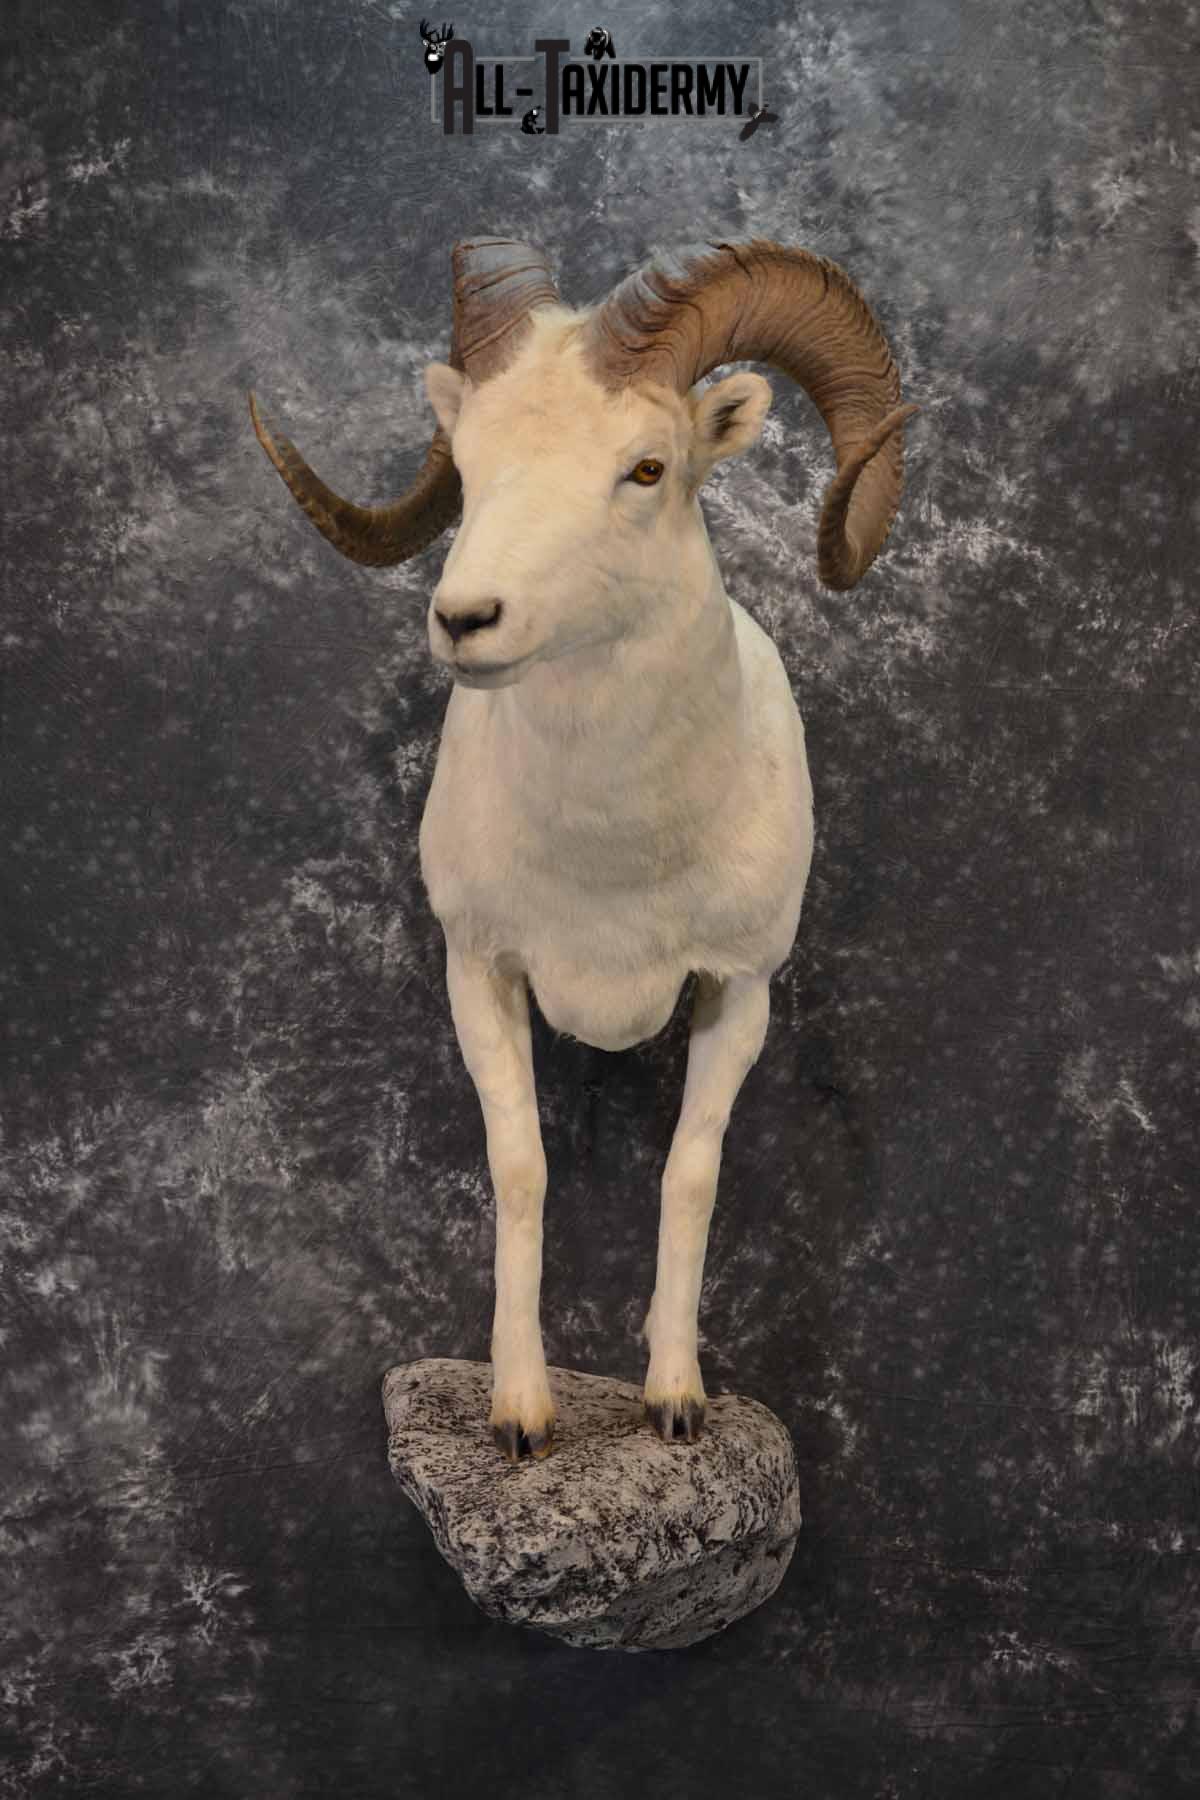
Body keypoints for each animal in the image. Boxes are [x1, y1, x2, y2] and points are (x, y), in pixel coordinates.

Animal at [250, 237, 919, 1462]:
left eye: (646, 469)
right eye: (470, 464)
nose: (466, 619)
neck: (615, 864)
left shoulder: (738, 992)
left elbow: (690, 1176)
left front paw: (674, 1403)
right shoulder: (481, 974)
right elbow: (521, 1168)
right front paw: (522, 1419)